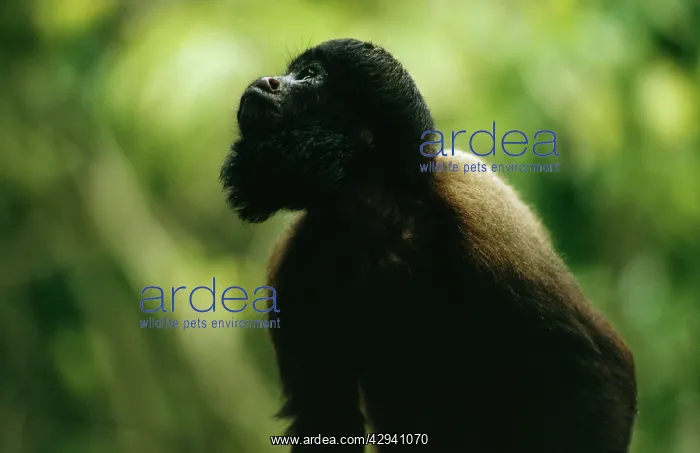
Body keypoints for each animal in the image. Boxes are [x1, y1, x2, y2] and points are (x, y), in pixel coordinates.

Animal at [220, 38, 637, 452]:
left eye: (308, 74)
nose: (269, 80)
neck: (376, 213)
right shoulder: (294, 266)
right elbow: (324, 418)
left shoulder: (482, 212)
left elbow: (601, 367)